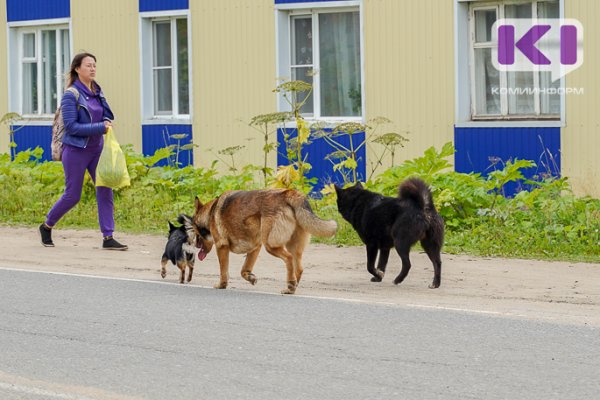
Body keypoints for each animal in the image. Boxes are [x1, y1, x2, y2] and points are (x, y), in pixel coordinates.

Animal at [193, 188, 338, 294]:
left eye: (195, 231)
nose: (195, 245)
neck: (210, 213)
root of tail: (288, 193)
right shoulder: (255, 247)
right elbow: (244, 270)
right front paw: (250, 278)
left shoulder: (222, 247)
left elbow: (224, 272)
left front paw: (221, 285)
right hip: (292, 247)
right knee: (299, 268)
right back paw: (291, 287)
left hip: (271, 245)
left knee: (289, 258)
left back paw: (291, 285)